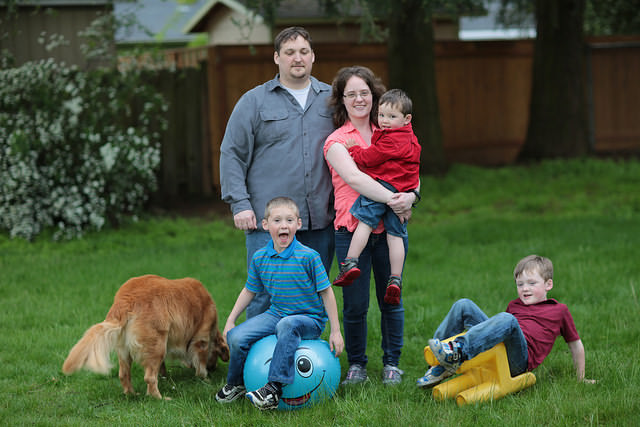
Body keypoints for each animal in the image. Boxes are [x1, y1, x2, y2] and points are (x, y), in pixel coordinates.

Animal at [62, 276, 230, 400]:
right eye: (217, 355)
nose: (213, 369)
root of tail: (124, 301)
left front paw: (165, 375)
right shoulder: (201, 339)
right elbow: (200, 363)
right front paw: (205, 378)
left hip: (126, 349)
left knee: (123, 374)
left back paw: (131, 394)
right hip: (157, 344)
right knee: (149, 378)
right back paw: (159, 398)